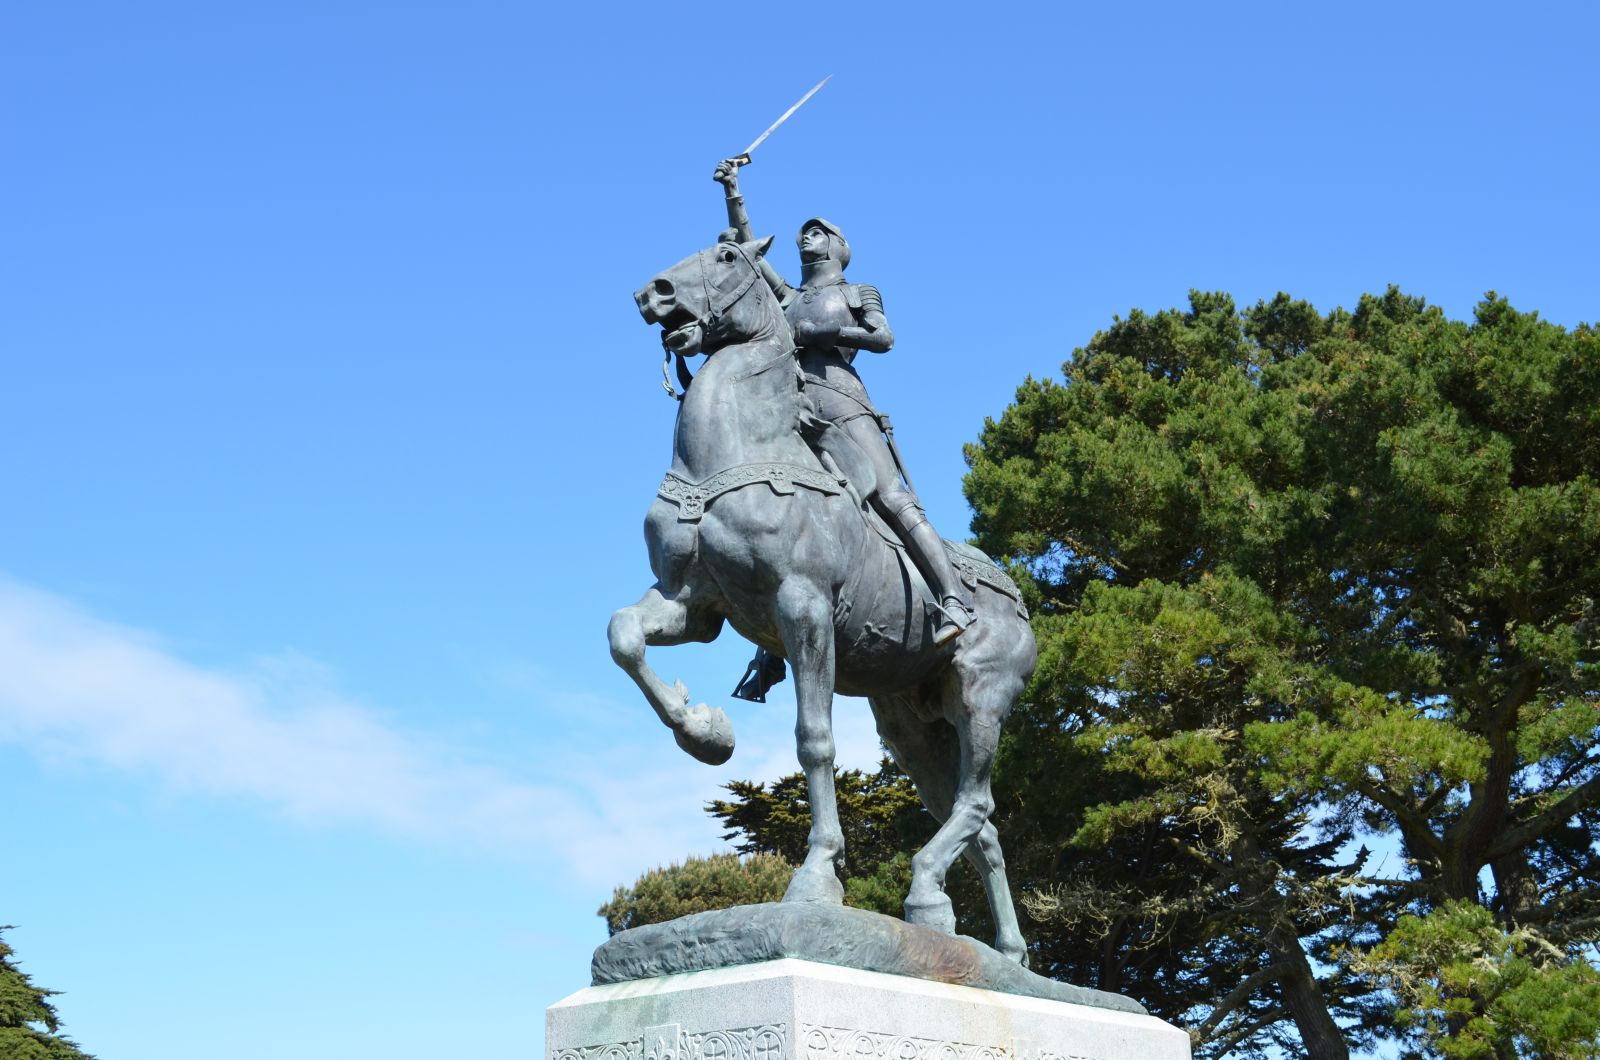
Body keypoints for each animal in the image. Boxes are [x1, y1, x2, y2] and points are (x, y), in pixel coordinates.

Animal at [601, 235, 1036, 960]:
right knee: (981, 827)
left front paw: (816, 877)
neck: (730, 455)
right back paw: (1003, 949)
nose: (652, 292)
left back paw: (926, 890)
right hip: (911, 727)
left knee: (976, 805)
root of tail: (1020, 601)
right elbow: (624, 636)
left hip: (981, 696)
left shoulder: (802, 607)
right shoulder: (693, 603)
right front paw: (706, 734)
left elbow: (815, 739)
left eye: (725, 255)